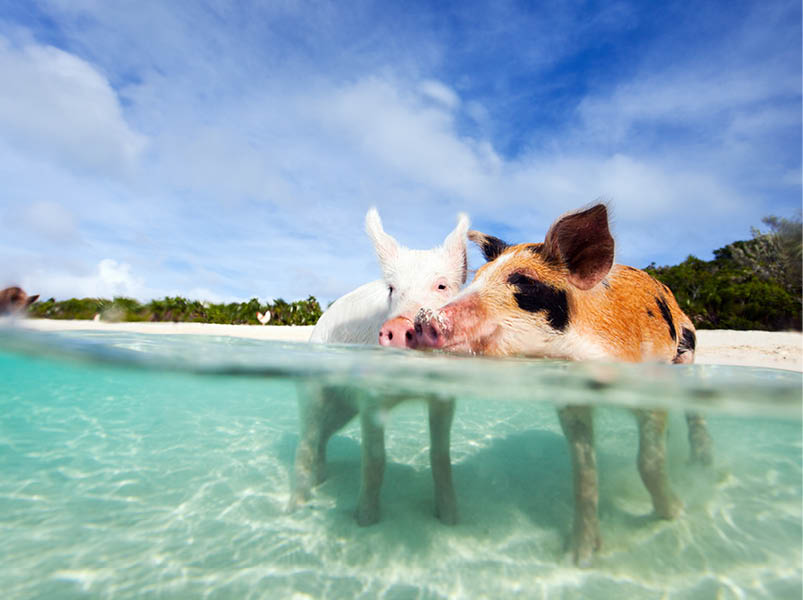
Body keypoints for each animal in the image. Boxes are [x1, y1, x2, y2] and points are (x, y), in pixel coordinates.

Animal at [290, 208, 469, 526]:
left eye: (442, 285)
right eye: (392, 289)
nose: (397, 326)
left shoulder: (444, 397)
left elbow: (440, 456)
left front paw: (451, 519)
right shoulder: (370, 396)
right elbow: (375, 458)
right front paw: (365, 520)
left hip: (343, 408)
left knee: (323, 435)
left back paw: (321, 480)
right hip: (313, 388)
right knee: (307, 440)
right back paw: (296, 508)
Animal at [413, 203, 713, 565]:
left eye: (524, 282)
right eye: (477, 277)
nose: (423, 320)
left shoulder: (648, 385)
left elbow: (648, 462)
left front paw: (673, 514)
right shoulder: (572, 403)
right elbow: (584, 473)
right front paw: (580, 557)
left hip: (687, 351)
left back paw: (701, 465)